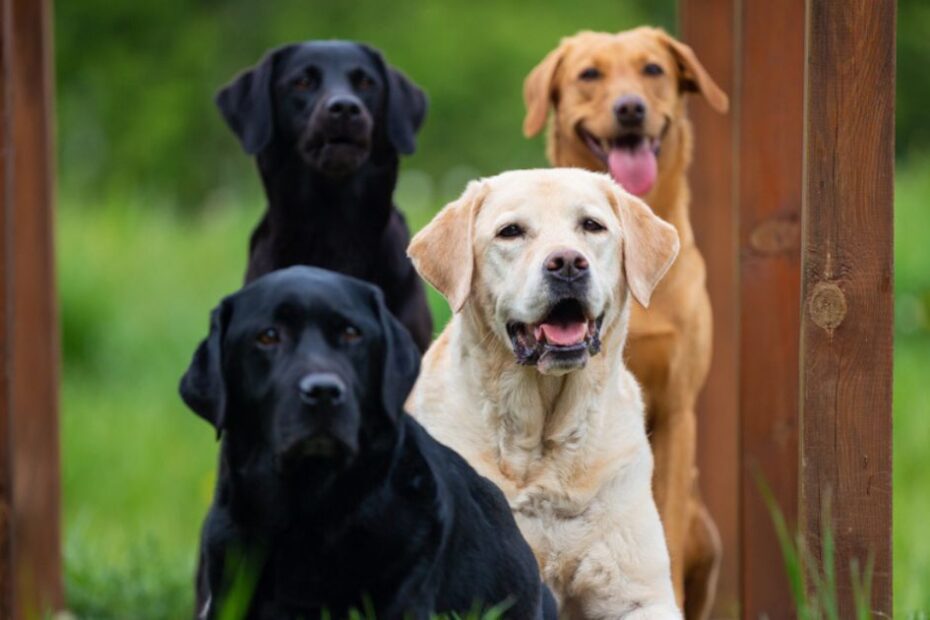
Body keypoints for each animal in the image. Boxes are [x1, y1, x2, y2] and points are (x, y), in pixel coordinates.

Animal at [520, 27, 728, 616]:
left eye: (653, 69)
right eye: (589, 74)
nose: (630, 107)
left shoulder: (678, 411)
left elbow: (662, 537)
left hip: (707, 531)